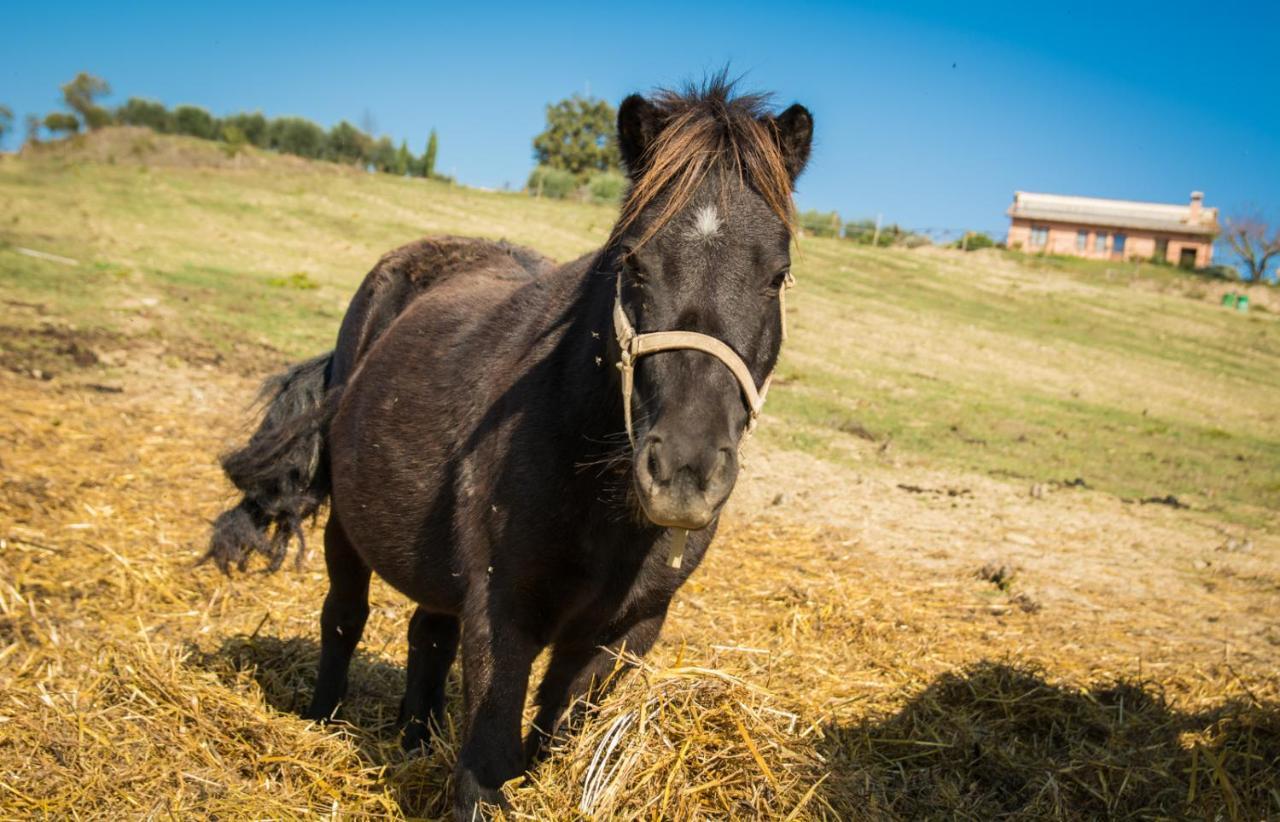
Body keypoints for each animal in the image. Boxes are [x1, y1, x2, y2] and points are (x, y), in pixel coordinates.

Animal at [207, 80, 808, 814]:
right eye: (633, 261)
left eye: (777, 275)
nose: (685, 472)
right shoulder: (502, 616)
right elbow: (487, 765)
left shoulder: (625, 634)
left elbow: (557, 739)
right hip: (349, 528)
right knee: (344, 618)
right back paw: (321, 721)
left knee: (428, 635)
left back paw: (415, 741)